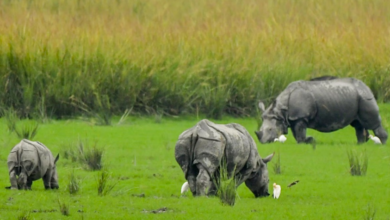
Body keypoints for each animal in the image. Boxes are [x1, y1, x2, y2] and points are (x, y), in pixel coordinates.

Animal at [256, 77, 386, 144]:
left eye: (270, 129)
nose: (263, 142)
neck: (281, 111)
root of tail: (366, 86)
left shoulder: (300, 117)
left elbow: (300, 134)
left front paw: (308, 141)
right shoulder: (293, 118)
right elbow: (296, 134)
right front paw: (306, 142)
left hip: (364, 97)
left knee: (372, 124)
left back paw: (382, 143)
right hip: (357, 97)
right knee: (358, 124)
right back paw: (360, 144)